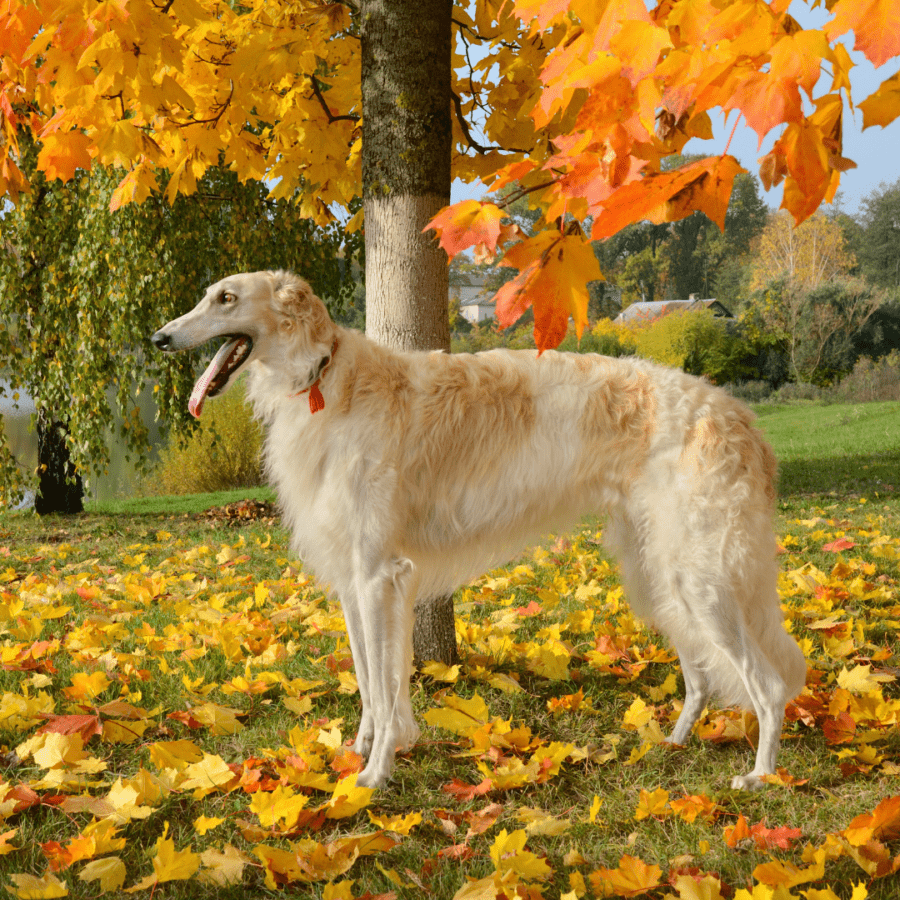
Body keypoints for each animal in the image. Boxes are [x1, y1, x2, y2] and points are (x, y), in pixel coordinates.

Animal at [151, 268, 804, 788]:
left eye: (227, 298)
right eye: (207, 294)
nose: (158, 338)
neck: (327, 379)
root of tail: (740, 417)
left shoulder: (379, 574)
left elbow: (383, 685)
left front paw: (375, 774)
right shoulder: (355, 579)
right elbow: (368, 679)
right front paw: (363, 749)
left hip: (699, 576)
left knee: (769, 686)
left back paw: (761, 775)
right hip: (657, 574)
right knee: (700, 673)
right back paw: (673, 741)